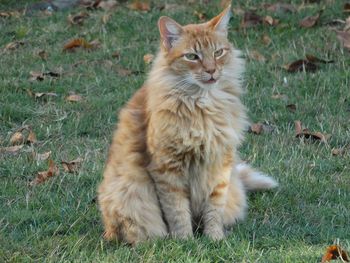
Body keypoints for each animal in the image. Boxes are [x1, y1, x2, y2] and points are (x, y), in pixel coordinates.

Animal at [97, 5, 278, 246]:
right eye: (192, 56)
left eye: (218, 53)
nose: (211, 70)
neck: (203, 105)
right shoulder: (167, 169)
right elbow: (177, 211)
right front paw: (185, 241)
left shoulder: (220, 165)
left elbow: (214, 209)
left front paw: (214, 238)